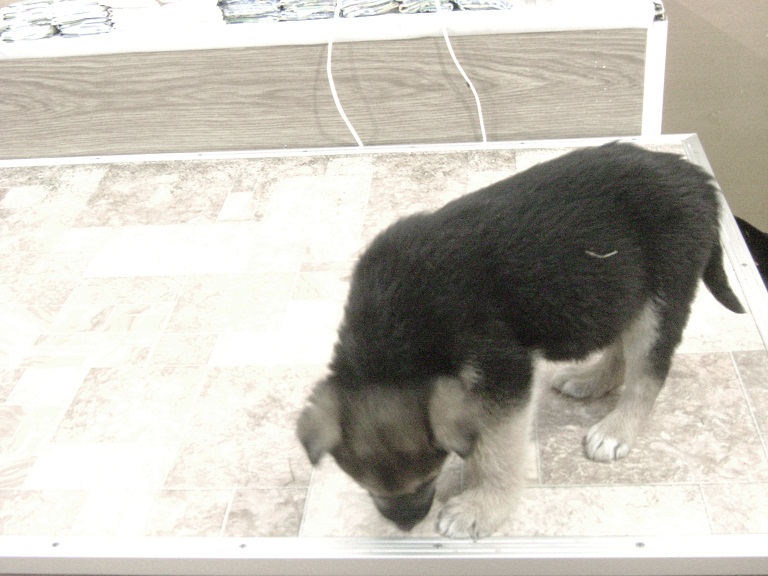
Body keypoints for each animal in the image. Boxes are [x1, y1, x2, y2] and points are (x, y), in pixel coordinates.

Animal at [297, 142, 745, 539]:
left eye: (428, 478)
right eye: (367, 487)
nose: (407, 527)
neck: (393, 329)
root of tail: (698, 178)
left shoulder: (502, 370)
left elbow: (497, 449)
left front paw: (481, 508)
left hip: (663, 295)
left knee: (648, 372)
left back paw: (617, 429)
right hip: (621, 288)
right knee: (620, 347)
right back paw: (591, 380)